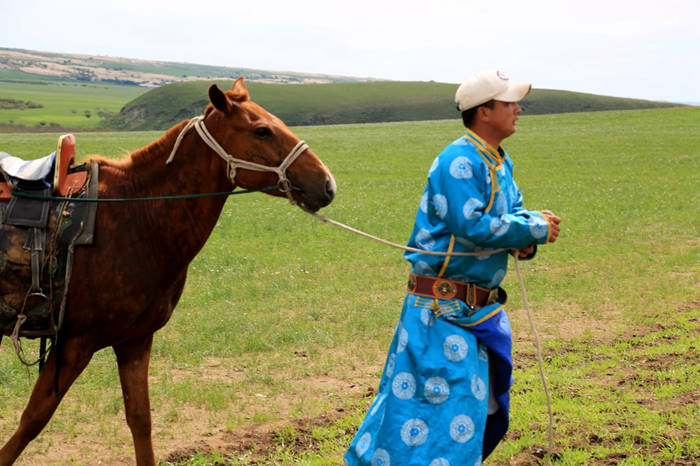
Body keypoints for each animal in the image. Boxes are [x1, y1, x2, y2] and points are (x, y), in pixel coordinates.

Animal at [0, 77, 336, 466]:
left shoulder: (135, 340)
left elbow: (140, 420)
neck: (136, 216)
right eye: (262, 130)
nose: (327, 184)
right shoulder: (74, 342)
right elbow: (33, 419)